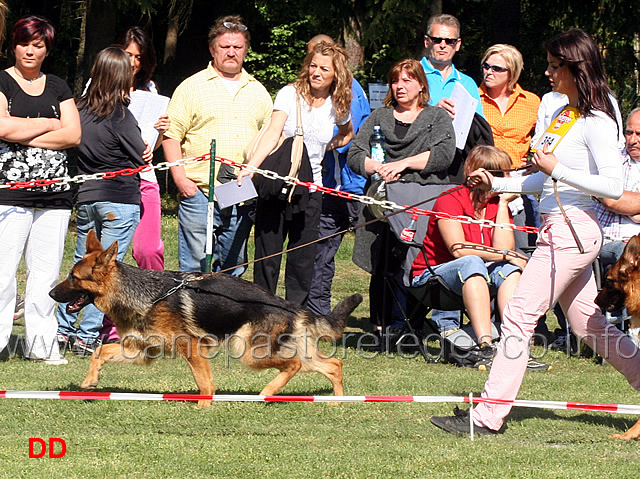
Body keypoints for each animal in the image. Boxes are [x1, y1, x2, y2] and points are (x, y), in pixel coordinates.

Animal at [50, 231, 362, 406]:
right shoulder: (139, 351)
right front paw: (90, 381)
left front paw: (204, 406)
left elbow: (204, 384)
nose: (51, 293)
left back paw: (268, 392)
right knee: (333, 365)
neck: (141, 293)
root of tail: (288, 304)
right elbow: (99, 352)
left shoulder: (191, 348)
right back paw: (337, 401)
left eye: (73, 277)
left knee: (294, 365)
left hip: (248, 352)